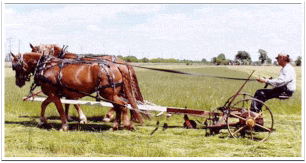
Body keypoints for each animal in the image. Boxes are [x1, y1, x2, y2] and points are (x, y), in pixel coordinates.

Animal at [10, 52, 142, 131]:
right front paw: (42, 121)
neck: (46, 66)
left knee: (123, 105)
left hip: (108, 93)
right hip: (112, 93)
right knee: (119, 106)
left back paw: (126, 124)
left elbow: (60, 109)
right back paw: (115, 125)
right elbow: (44, 104)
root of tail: (118, 65)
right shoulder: (54, 94)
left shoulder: (53, 94)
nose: (18, 82)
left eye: (15, 66)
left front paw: (64, 126)